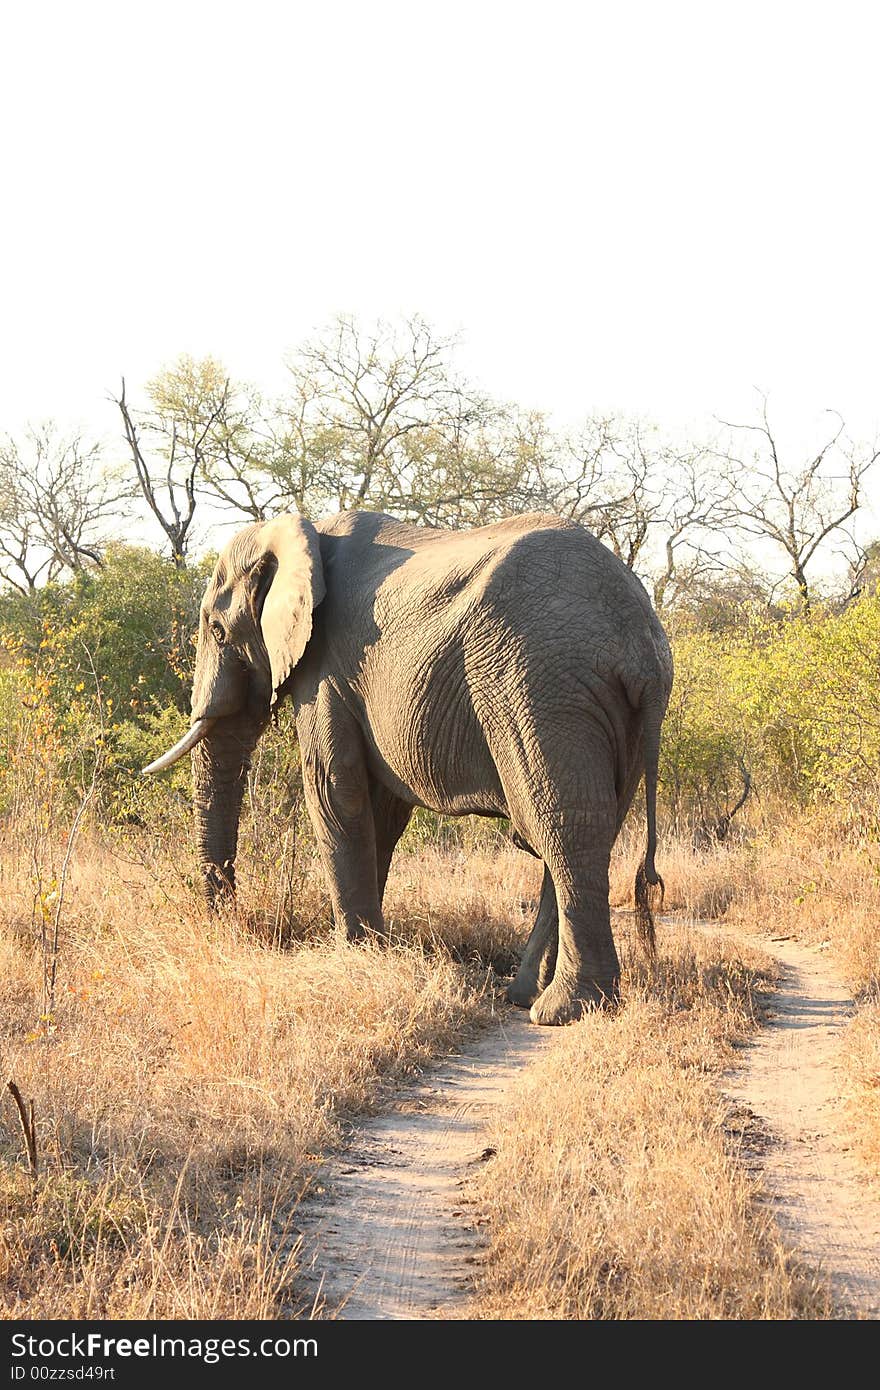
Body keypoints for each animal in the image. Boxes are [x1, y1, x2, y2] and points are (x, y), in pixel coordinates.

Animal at [145, 511, 672, 1023]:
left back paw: (563, 1010)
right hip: (606, 711)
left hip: (540, 687)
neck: (298, 531)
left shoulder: (326, 668)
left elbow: (335, 792)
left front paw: (355, 955)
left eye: (217, 631)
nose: (227, 924)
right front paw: (372, 950)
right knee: (586, 829)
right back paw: (526, 994)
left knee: (560, 826)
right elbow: (382, 811)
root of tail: (640, 638)